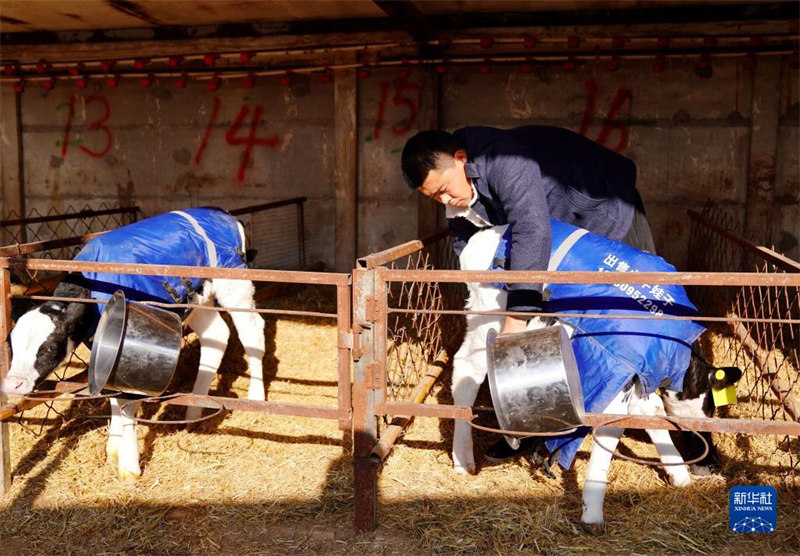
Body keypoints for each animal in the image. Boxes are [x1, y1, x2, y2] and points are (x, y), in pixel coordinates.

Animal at [1, 208, 268, 482]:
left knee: (252, 332)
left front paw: (129, 467)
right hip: (197, 300)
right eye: (12, 344)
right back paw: (193, 411)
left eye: (49, 348)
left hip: (235, 284)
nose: (12, 384)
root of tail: (221, 213)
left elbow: (126, 403)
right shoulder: (105, 350)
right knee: (217, 336)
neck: (94, 286)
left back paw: (256, 397)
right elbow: (112, 397)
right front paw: (113, 449)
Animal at [454, 223, 740, 536]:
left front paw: (679, 475)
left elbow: (650, 415)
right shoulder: (619, 373)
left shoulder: (638, 377)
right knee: (465, 372)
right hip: (489, 318)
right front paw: (592, 513)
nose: (710, 464)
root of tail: (485, 234)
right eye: (708, 413)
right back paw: (463, 458)